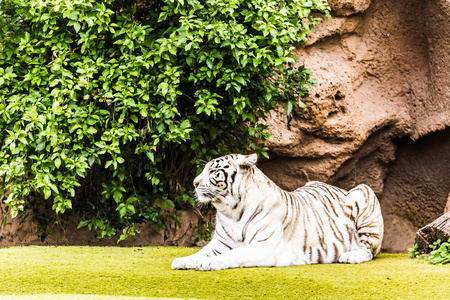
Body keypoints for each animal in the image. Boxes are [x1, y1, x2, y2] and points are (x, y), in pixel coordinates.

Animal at [171, 154, 384, 270]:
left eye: (213, 171)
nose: (194, 183)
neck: (231, 210)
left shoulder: (266, 246)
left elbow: (234, 255)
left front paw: (208, 264)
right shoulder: (220, 243)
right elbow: (200, 252)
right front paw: (182, 261)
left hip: (364, 191)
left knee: (368, 251)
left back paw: (350, 256)